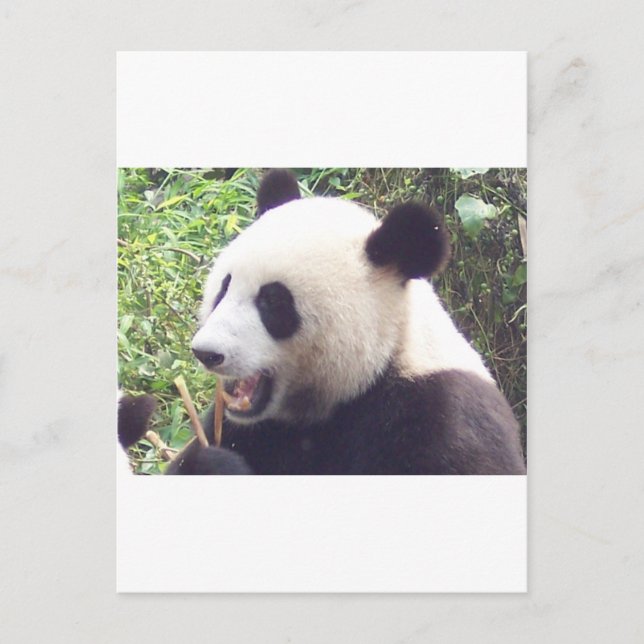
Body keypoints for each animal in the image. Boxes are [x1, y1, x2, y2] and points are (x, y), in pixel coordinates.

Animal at [166, 170, 526, 475]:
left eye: (273, 301)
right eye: (224, 288)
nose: (207, 352)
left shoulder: (440, 417)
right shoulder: (255, 429)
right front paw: (210, 462)